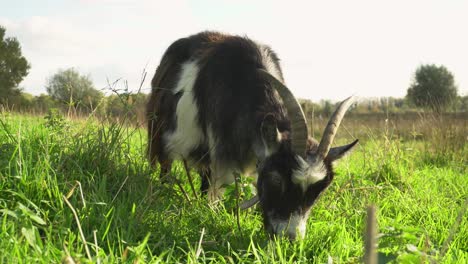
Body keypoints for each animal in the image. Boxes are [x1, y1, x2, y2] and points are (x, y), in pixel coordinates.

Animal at [147, 31, 358, 241]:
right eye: (276, 180)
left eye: (320, 190)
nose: (291, 238)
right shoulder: (222, 154)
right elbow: (218, 191)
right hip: (158, 134)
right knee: (164, 165)